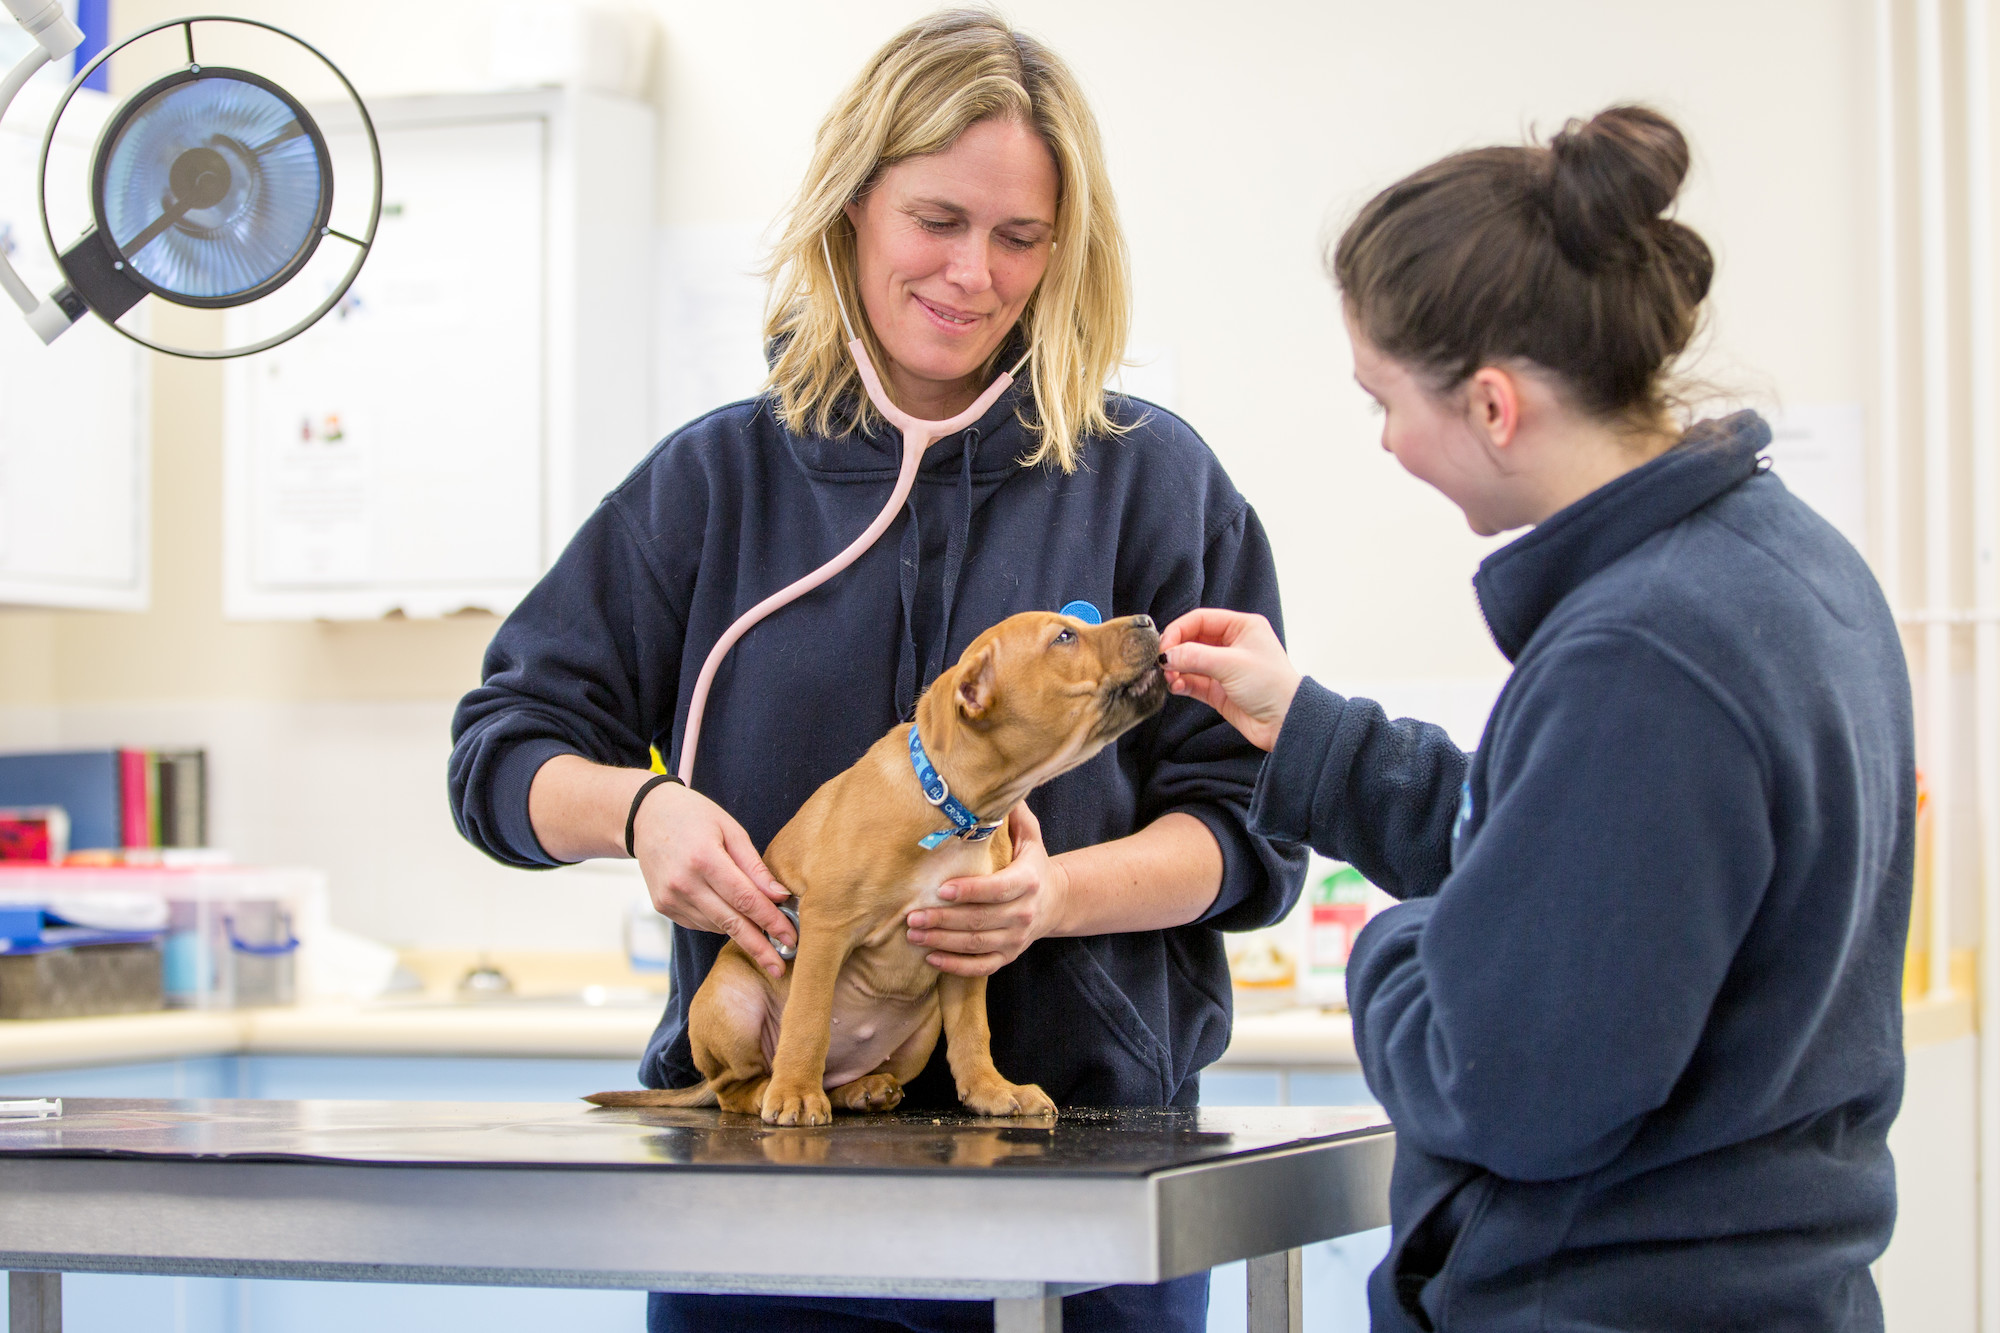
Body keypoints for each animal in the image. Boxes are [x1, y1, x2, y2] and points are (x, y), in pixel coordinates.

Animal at [584, 608, 1168, 1120]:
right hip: (730, 997)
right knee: (736, 1086)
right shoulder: (825, 927)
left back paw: (860, 1090)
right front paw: (794, 1096)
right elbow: (808, 1020)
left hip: (921, 1028)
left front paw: (991, 1091)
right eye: (1065, 637)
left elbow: (972, 1032)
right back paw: (775, 1089)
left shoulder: (966, 946)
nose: (1149, 621)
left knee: (840, 1076)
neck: (952, 809)